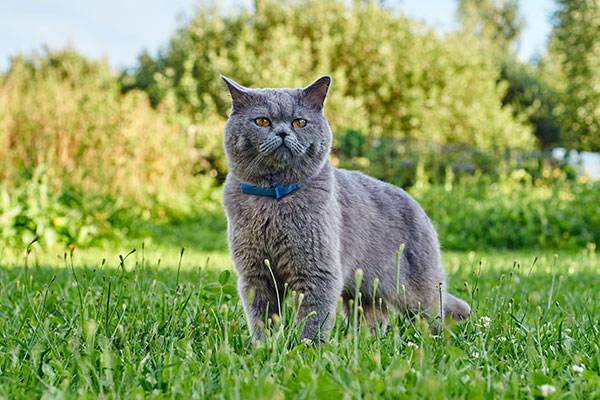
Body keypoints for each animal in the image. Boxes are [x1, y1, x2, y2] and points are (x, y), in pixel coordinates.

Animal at [220, 76, 468, 344]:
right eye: (262, 121)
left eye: (300, 122)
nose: (283, 132)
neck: (274, 199)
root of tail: (418, 206)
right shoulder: (255, 274)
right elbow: (262, 318)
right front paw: (263, 346)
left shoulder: (318, 271)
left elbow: (313, 320)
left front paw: (307, 348)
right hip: (365, 291)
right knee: (374, 316)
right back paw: (365, 342)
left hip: (417, 291)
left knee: (433, 315)